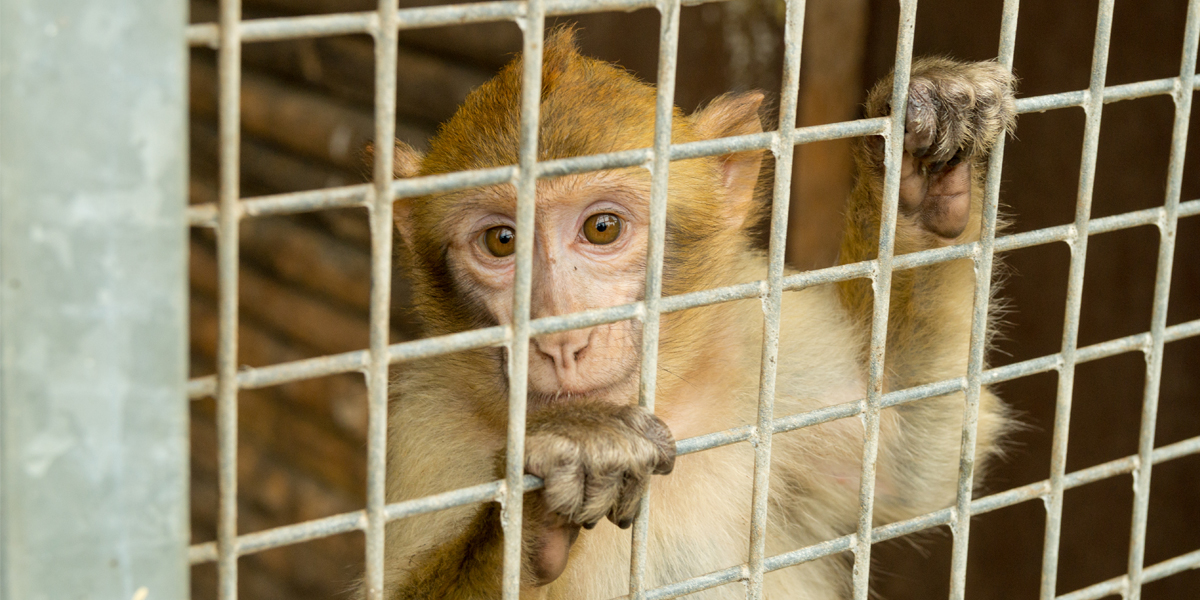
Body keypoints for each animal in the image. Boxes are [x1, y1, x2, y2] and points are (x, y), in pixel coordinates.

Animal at [379, 25, 1017, 597]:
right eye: (501, 242)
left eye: (602, 227)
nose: (560, 340)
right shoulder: (426, 427)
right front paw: (556, 478)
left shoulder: (766, 343)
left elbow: (903, 464)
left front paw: (921, 167)